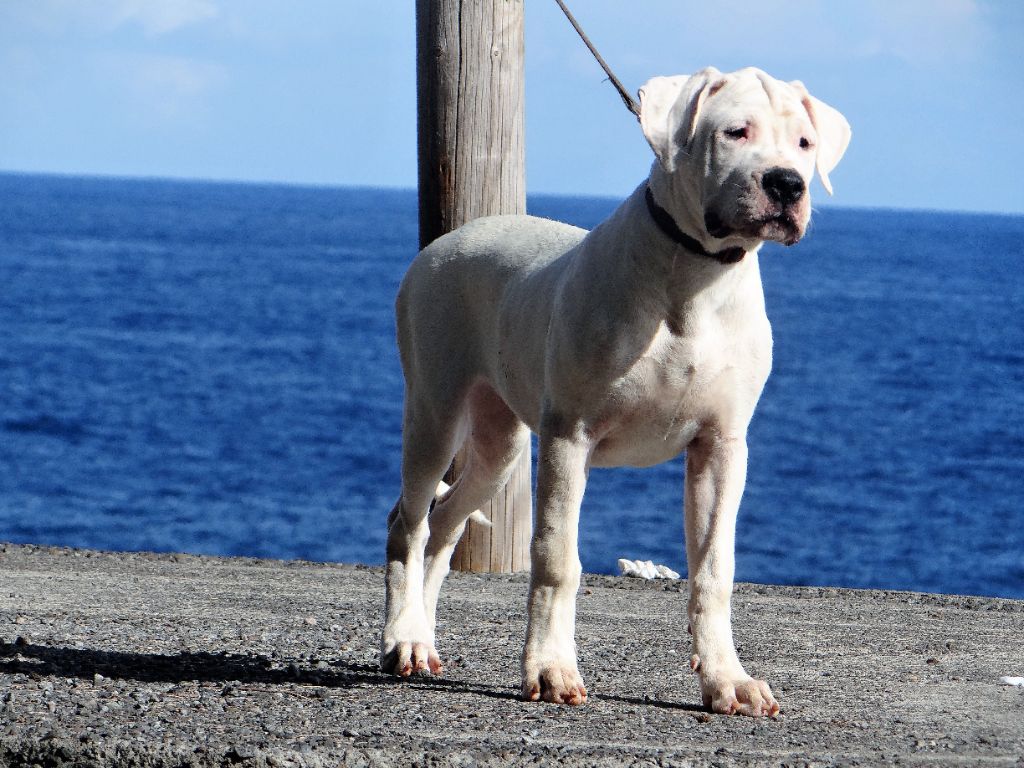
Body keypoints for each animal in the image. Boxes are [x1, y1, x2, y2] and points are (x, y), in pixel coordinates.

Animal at [382, 69, 847, 720]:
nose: (787, 183)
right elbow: (557, 557)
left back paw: (422, 638)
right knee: (409, 520)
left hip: (500, 443)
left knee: (446, 520)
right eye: (736, 131)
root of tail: (452, 236)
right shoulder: (569, 437)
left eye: (805, 142)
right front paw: (551, 670)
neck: (695, 275)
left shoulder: (722, 446)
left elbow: (714, 569)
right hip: (435, 408)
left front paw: (728, 680)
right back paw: (402, 637)